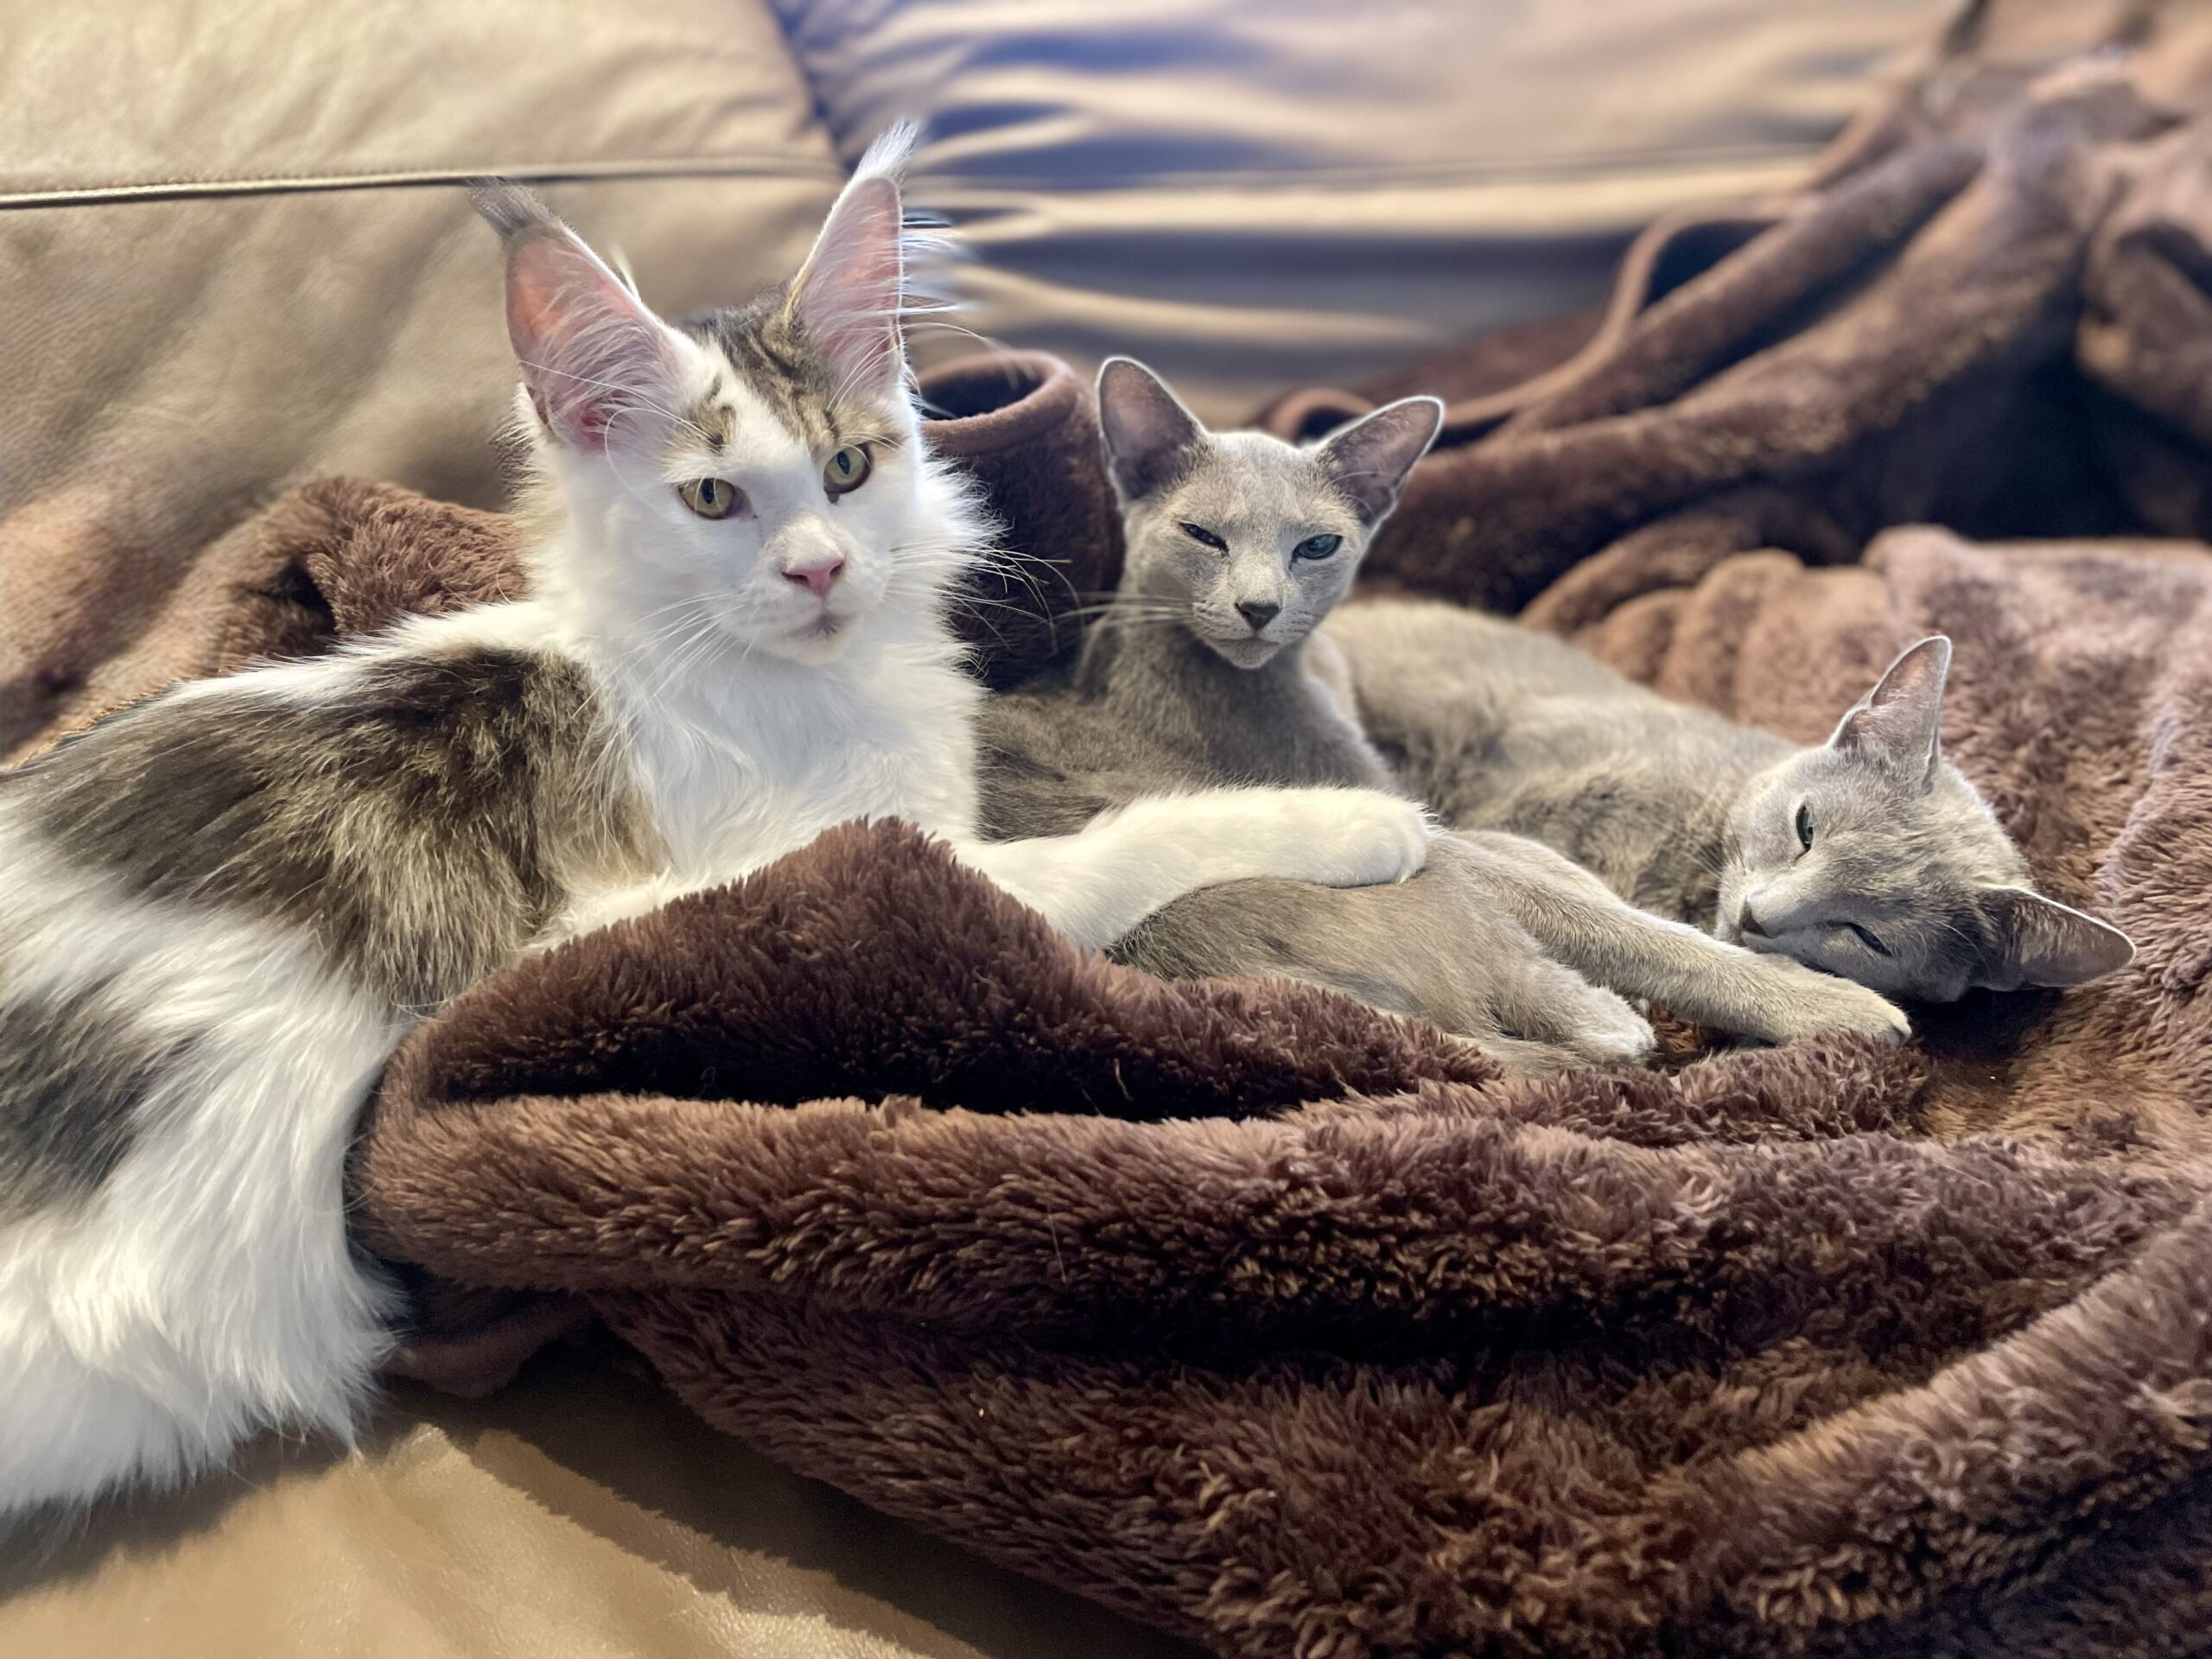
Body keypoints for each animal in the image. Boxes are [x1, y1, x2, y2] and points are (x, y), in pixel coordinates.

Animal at [0, 135, 1431, 1519]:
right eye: (710, 502)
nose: (820, 569)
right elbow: (1132, 839)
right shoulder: (814, 870)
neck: (779, 679)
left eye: (848, 469)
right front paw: (1368, 819)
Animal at [983, 359, 1951, 1069]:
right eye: (1202, 537)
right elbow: (1624, 927)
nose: (1259, 607)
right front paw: (1822, 998)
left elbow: (1553, 871)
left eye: (1318, 545)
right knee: (1581, 1011)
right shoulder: (1414, 820)